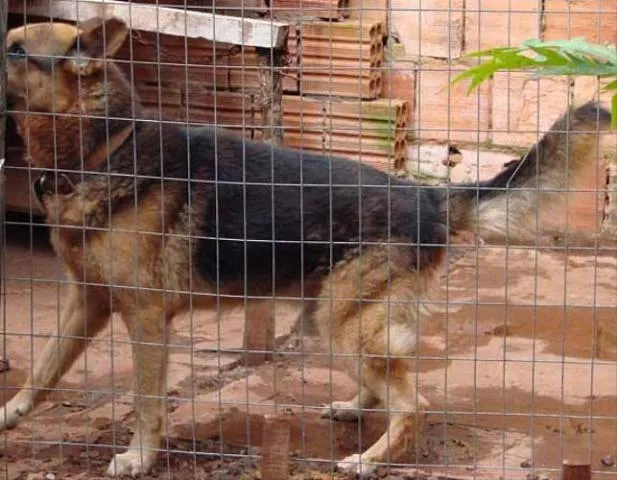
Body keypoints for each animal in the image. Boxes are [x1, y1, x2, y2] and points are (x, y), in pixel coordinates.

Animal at [3, 16, 612, 478]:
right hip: (333, 319)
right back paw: (355, 410)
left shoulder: (147, 320)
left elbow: (146, 400)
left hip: (345, 325)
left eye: (15, 51)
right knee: (385, 383)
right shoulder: (86, 303)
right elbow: (43, 369)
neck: (105, 149)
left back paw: (372, 459)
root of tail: (428, 197)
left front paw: (139, 457)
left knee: (412, 404)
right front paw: (10, 413)